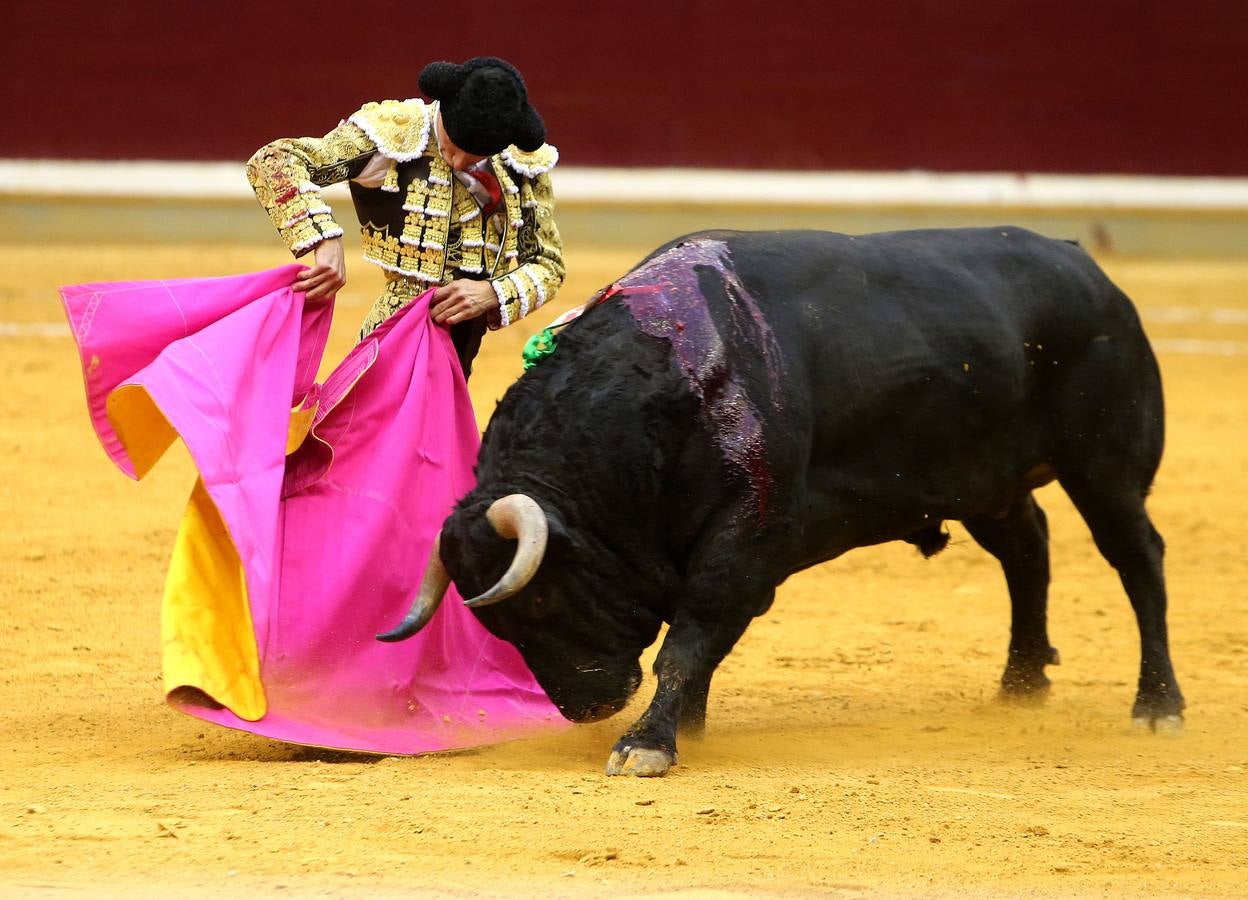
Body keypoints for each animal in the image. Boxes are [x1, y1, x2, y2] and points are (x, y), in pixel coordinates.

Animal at [374, 228, 1183, 773]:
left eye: (540, 599)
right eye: (500, 623)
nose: (585, 707)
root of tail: (1090, 270)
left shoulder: (746, 539)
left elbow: (691, 637)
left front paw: (648, 743)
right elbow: (700, 644)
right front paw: (685, 726)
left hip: (1103, 465)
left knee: (1136, 557)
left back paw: (1156, 705)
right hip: (987, 480)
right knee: (1028, 549)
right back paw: (1020, 684)